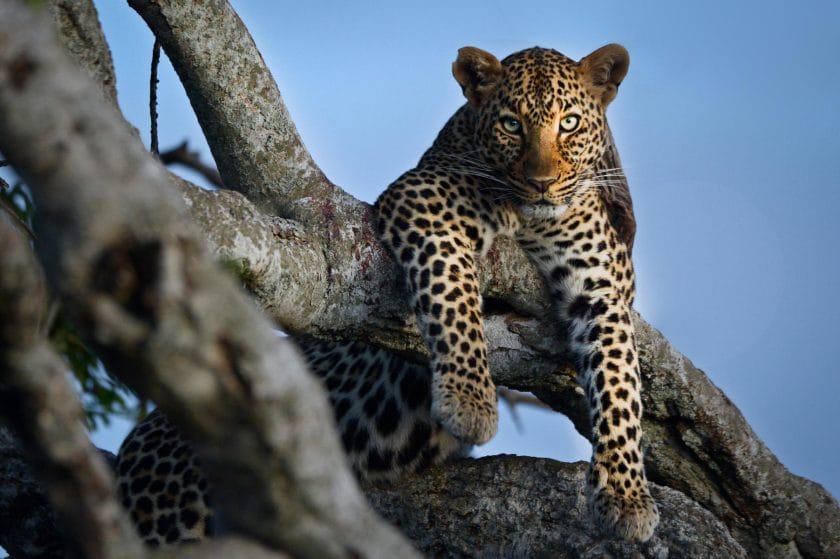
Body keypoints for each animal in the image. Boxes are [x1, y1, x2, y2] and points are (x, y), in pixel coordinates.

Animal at [116, 42, 656, 548]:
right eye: (511, 124)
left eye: (569, 124)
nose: (542, 183)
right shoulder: (423, 200)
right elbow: (454, 291)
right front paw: (469, 402)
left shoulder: (603, 288)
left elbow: (620, 385)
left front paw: (627, 496)